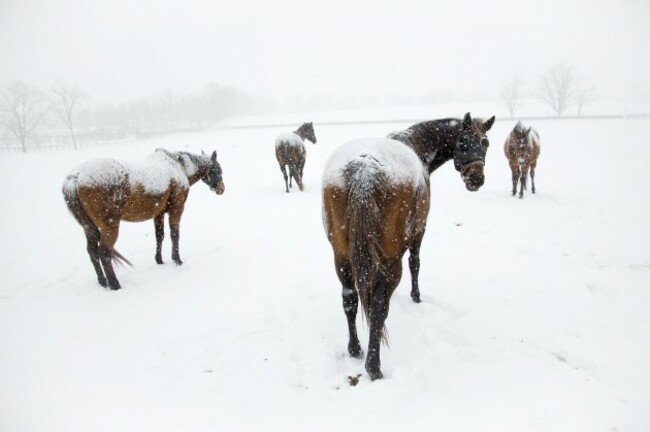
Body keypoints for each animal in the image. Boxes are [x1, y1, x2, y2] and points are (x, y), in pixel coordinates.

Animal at [62, 148, 225, 290]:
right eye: (217, 169)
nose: (221, 189)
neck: (178, 166)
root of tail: (74, 178)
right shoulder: (176, 210)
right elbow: (174, 235)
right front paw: (177, 260)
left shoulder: (158, 213)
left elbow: (160, 236)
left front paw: (159, 260)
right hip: (109, 227)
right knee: (104, 253)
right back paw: (115, 285)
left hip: (88, 228)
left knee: (92, 252)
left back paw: (103, 282)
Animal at [322, 112, 494, 382]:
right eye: (463, 140)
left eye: (485, 143)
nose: (476, 179)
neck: (416, 145)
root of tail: (365, 168)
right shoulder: (418, 234)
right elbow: (416, 264)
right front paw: (416, 296)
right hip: (391, 262)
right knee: (379, 308)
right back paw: (374, 367)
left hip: (341, 257)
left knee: (350, 300)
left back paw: (355, 349)